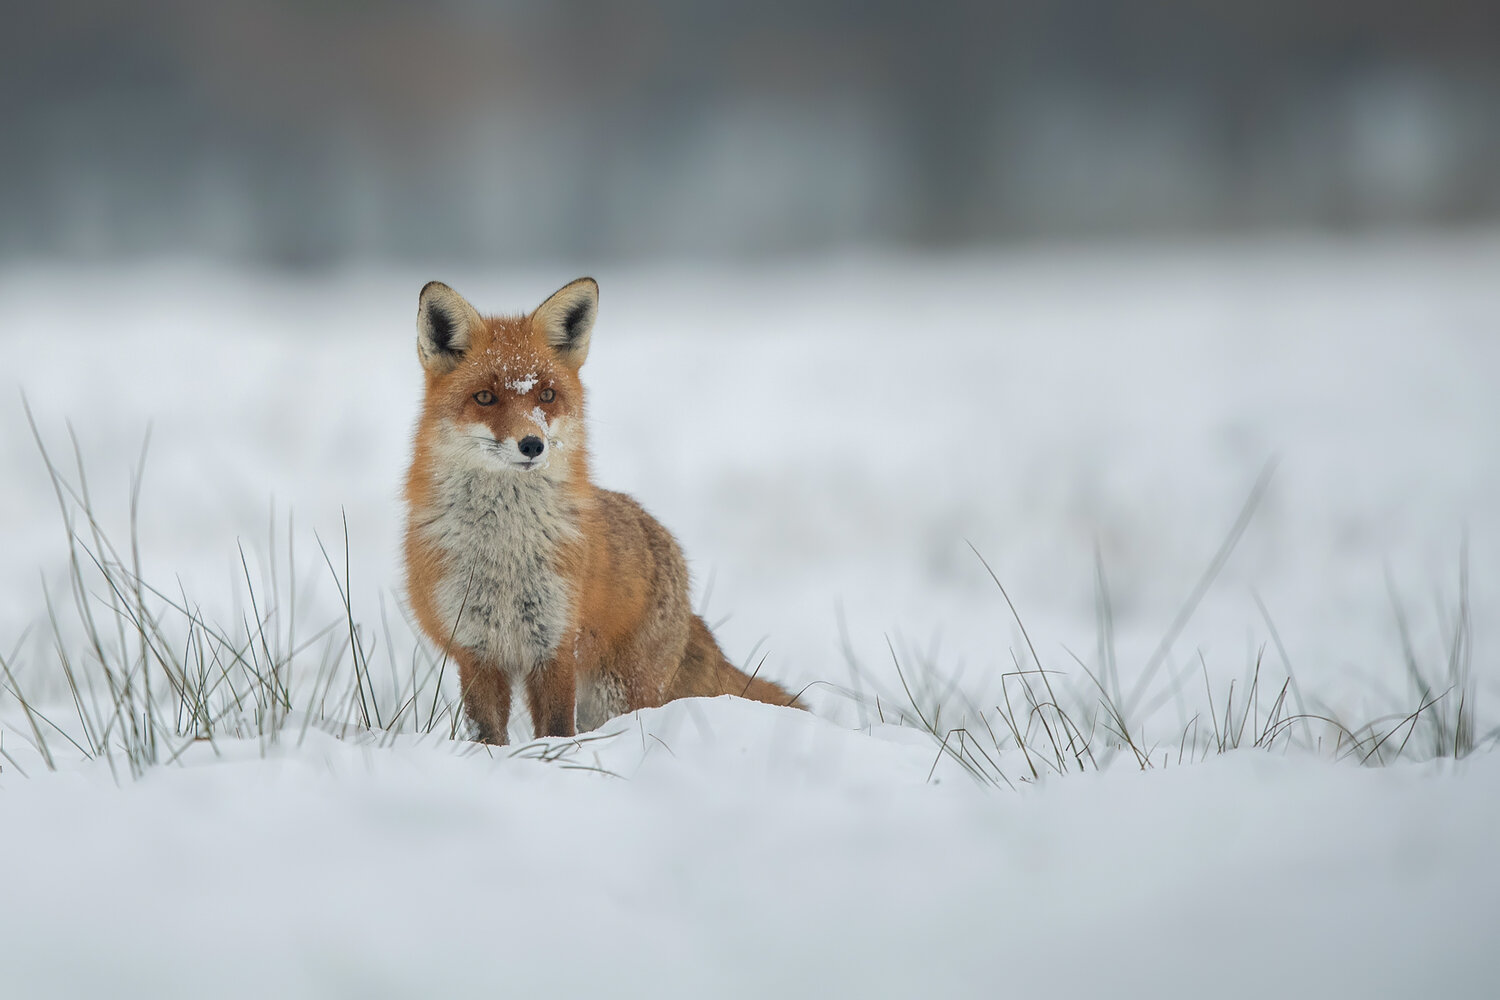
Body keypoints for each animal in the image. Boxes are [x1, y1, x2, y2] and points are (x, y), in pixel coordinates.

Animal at [403, 277, 798, 744]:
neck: (506, 552)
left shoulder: (557, 641)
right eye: (484, 397)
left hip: (619, 694)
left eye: (547, 395)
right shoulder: (474, 647)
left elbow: (557, 729)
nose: (532, 444)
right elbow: (487, 733)